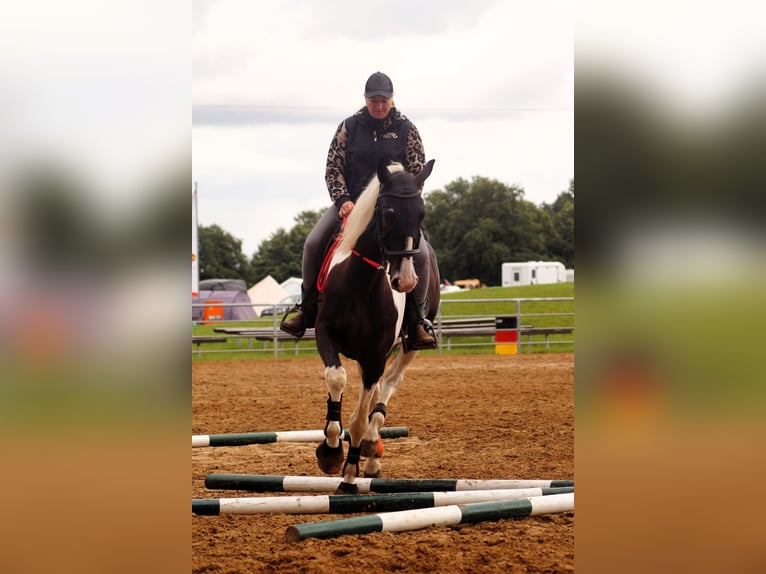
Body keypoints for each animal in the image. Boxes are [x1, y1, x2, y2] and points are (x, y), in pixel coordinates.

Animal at [313, 157, 440, 494]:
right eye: (389, 213)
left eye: (421, 214)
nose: (405, 281)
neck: (362, 283)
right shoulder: (325, 335)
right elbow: (336, 378)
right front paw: (331, 450)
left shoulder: (374, 357)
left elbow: (359, 418)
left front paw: (348, 476)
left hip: (408, 346)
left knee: (389, 385)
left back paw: (370, 448)